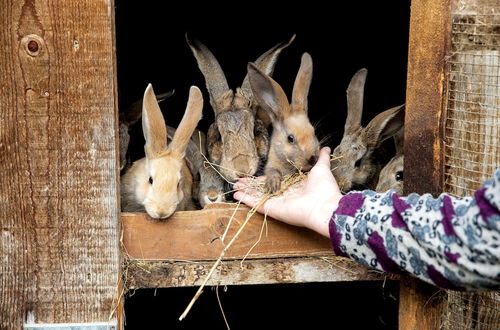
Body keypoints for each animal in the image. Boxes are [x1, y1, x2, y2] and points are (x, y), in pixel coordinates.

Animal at [247, 52, 320, 192]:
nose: (312, 159)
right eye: (290, 138)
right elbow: (272, 171)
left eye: (313, 132)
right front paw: (272, 185)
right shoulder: (271, 165)